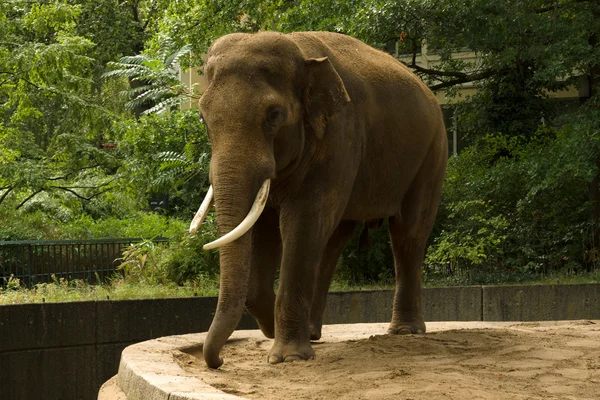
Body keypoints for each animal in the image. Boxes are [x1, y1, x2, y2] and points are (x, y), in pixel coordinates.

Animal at [190, 31, 448, 368]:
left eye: (274, 115)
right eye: (202, 117)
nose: (218, 361)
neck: (300, 54)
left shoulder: (339, 135)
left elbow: (302, 222)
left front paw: (286, 357)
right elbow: (264, 228)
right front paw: (277, 334)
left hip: (432, 154)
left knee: (407, 234)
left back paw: (405, 331)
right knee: (334, 239)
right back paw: (313, 333)